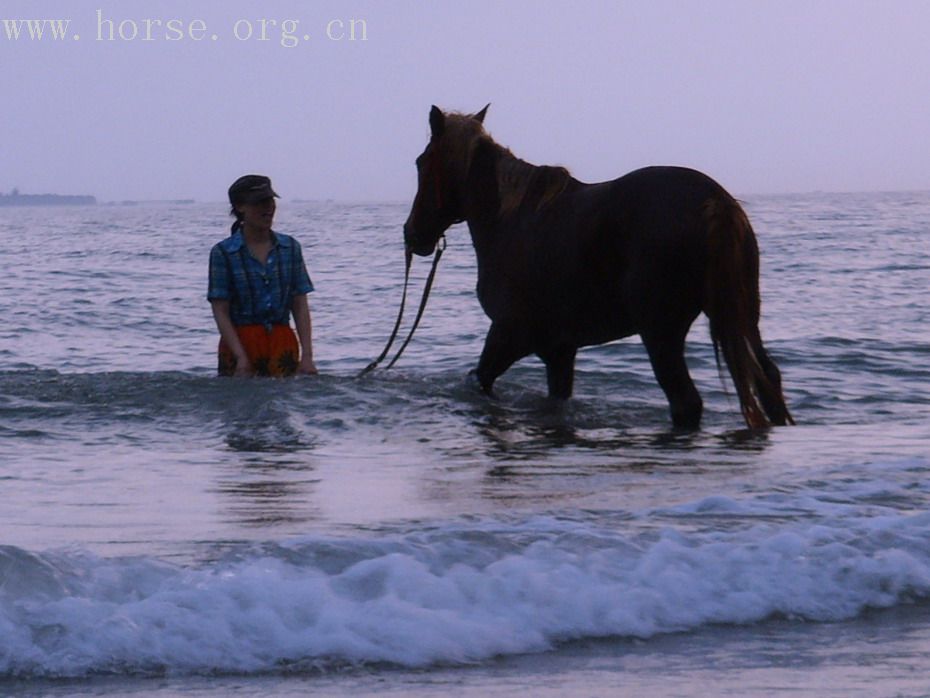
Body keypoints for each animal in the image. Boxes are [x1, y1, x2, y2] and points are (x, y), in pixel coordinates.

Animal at [398, 105, 792, 426]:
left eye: (421, 162)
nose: (413, 234)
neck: (511, 220)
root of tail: (716, 201)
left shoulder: (509, 334)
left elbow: (480, 380)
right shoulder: (558, 350)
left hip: (661, 333)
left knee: (686, 402)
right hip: (742, 317)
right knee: (767, 378)